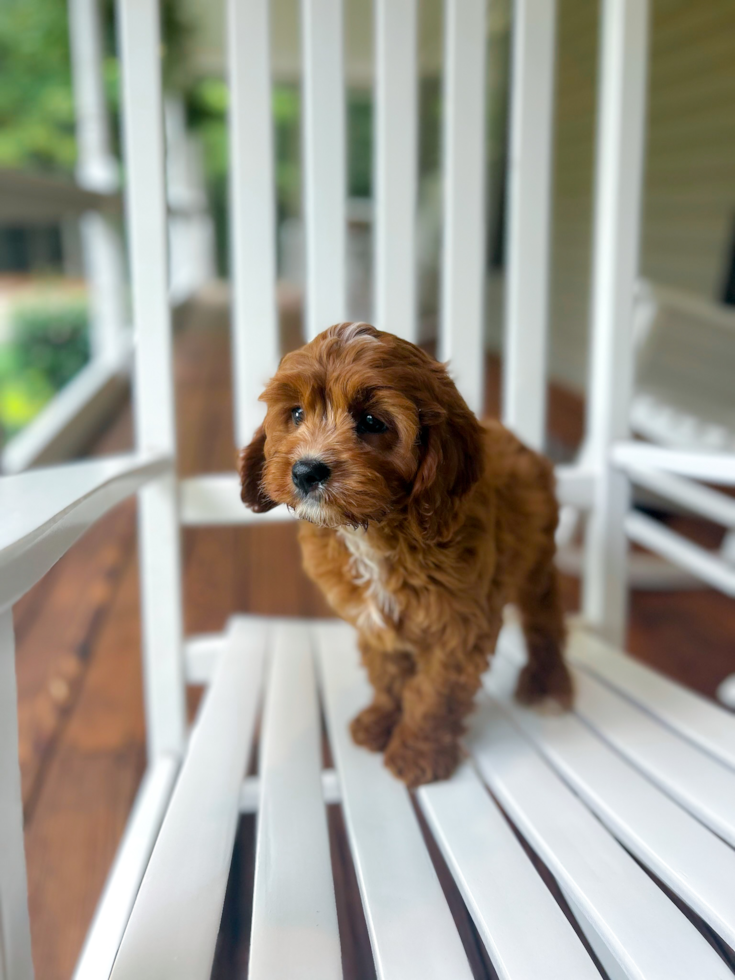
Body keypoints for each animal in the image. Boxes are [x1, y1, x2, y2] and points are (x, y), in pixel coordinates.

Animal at [239, 324, 572, 788]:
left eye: (371, 422)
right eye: (297, 414)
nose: (306, 471)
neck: (375, 530)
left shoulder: (460, 629)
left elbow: (433, 693)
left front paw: (417, 751)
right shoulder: (373, 621)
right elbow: (389, 675)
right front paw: (380, 722)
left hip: (536, 559)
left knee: (546, 618)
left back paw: (549, 682)